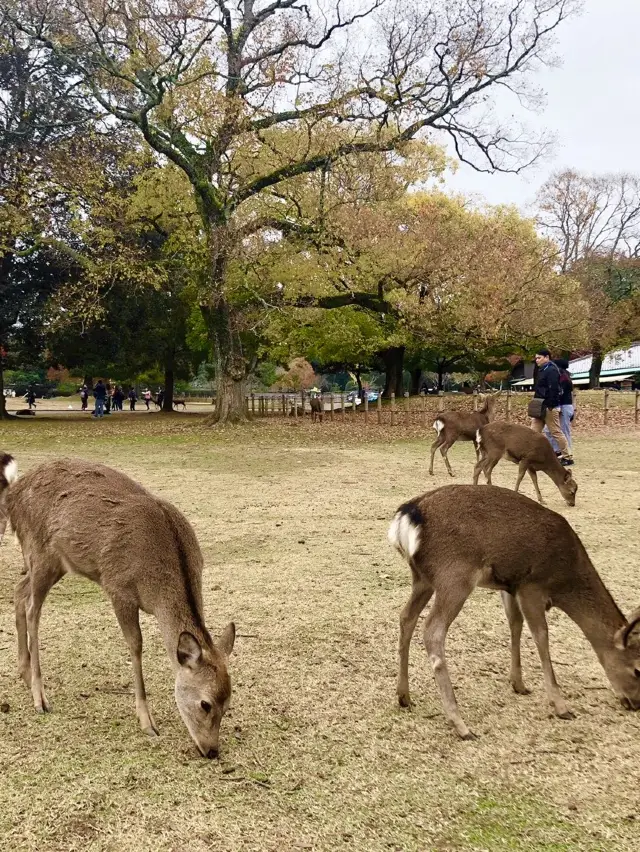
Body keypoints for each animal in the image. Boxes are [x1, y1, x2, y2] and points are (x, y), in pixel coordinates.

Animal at [0, 452, 236, 760]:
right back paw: (40, 697)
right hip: (39, 551)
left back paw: (25, 674)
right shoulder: (118, 587)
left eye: (228, 703)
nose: (211, 751)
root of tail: (12, 495)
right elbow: (136, 646)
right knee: (32, 610)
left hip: (55, 563)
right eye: (205, 704)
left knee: (19, 591)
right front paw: (147, 722)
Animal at [388, 486, 640, 740]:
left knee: (406, 617)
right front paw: (561, 706)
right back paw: (460, 724)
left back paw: (404, 696)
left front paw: (519, 684)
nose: (635, 704)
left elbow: (515, 624)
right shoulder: (532, 585)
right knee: (433, 630)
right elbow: (541, 636)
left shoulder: (510, 586)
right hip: (454, 576)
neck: (565, 578)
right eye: (638, 670)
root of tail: (406, 515)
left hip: (422, 579)